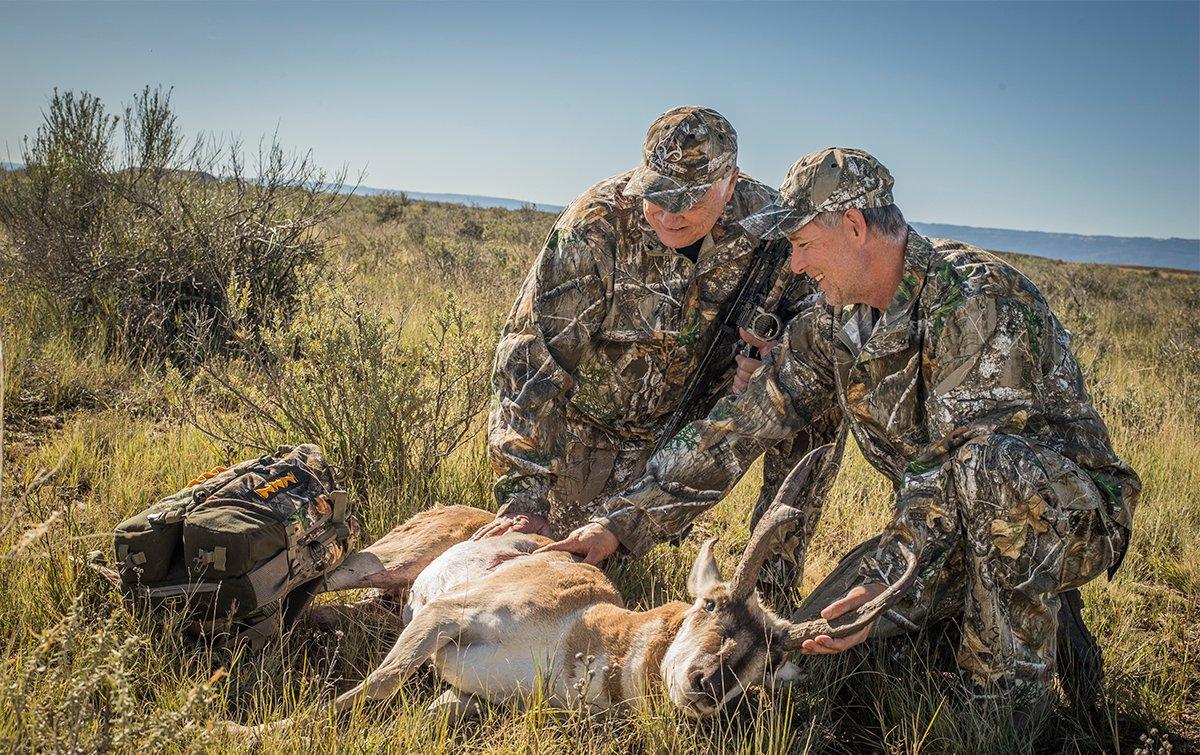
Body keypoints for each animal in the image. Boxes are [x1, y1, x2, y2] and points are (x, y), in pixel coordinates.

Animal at [241, 444, 916, 724]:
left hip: (381, 606)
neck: (582, 633)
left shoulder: (464, 694)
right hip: (371, 564)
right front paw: (247, 730)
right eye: (710, 603)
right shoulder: (446, 618)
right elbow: (369, 691)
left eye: (765, 664)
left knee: (333, 611)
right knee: (316, 581)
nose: (707, 686)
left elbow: (417, 709)